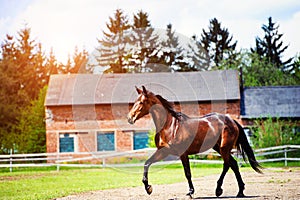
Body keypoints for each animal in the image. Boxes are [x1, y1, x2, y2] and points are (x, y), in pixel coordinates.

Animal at [127, 85, 262, 197]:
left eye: (141, 102)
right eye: (134, 102)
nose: (130, 118)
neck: (169, 125)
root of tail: (231, 120)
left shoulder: (183, 154)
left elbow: (187, 173)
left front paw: (191, 192)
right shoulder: (163, 151)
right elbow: (147, 163)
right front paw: (148, 188)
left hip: (224, 149)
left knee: (227, 165)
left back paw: (220, 190)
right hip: (219, 148)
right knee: (233, 164)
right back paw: (239, 191)